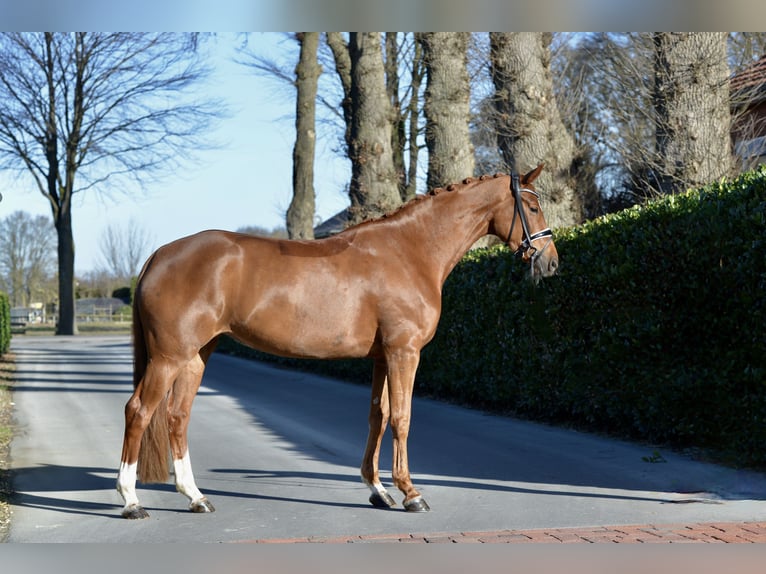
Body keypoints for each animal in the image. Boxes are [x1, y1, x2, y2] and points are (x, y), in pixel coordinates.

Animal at [116, 164, 559, 519]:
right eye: (533, 207)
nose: (552, 262)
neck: (410, 251)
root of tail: (160, 254)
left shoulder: (382, 356)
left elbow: (378, 415)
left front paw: (379, 491)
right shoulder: (404, 352)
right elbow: (402, 418)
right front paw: (410, 493)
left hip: (195, 356)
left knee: (177, 416)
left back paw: (195, 496)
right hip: (168, 357)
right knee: (139, 411)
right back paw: (131, 501)